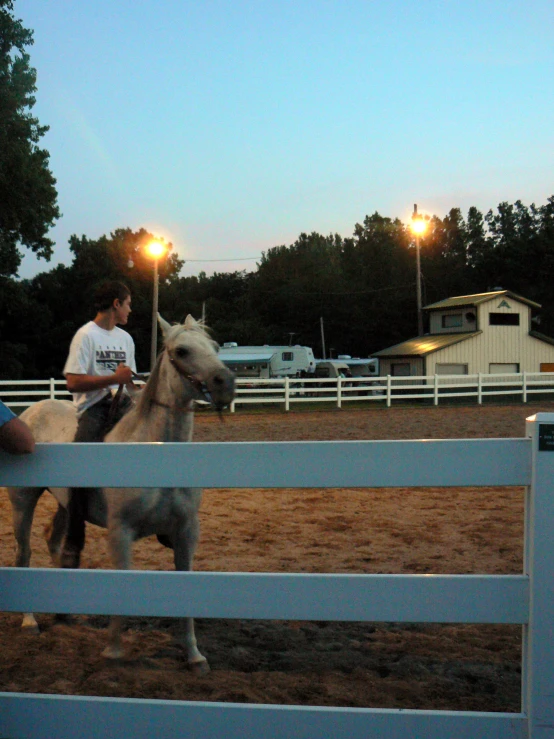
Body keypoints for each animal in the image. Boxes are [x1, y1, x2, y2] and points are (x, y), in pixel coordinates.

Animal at [7, 316, 234, 672]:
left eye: (214, 347)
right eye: (182, 351)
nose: (226, 382)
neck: (154, 450)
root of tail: (31, 412)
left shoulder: (186, 531)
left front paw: (194, 655)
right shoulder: (121, 531)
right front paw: (113, 651)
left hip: (66, 505)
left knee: (54, 541)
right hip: (22, 501)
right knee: (24, 553)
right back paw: (30, 620)